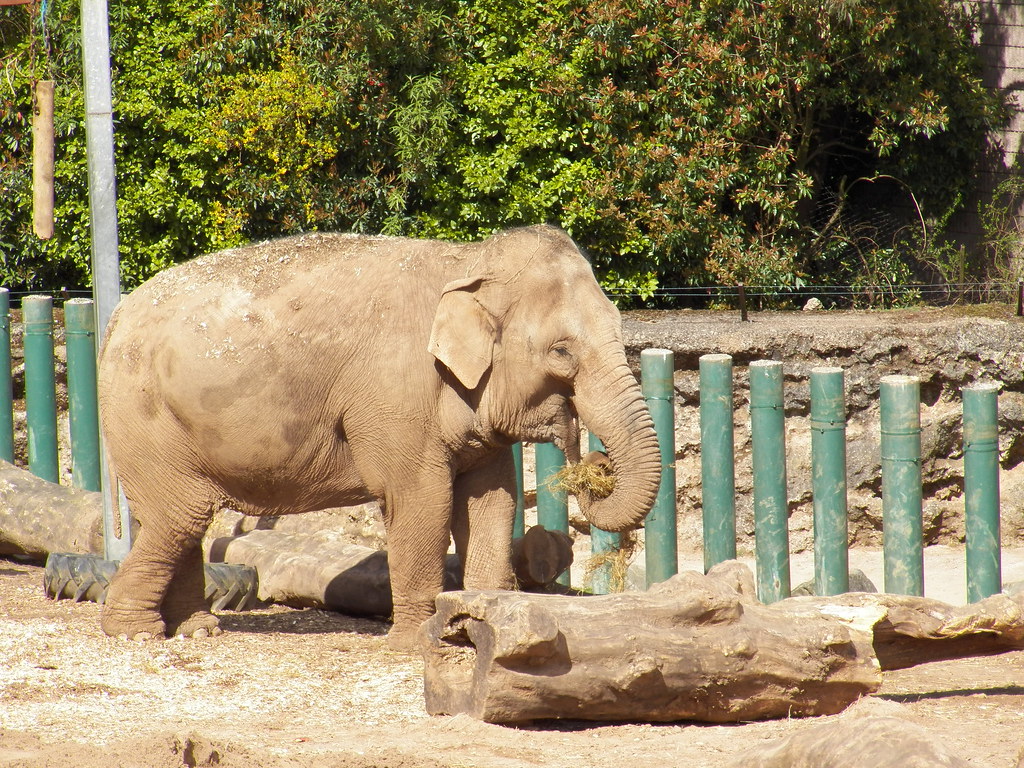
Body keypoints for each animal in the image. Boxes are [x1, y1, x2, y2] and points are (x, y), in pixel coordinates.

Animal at [97, 224, 662, 650]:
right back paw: (136, 632)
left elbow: (492, 503)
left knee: (179, 521)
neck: (470, 260)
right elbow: (422, 502)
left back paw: (196, 630)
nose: (595, 465)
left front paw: (485, 626)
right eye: (562, 352)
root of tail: (116, 316)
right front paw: (418, 644)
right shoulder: (397, 397)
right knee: (178, 517)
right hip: (143, 418)